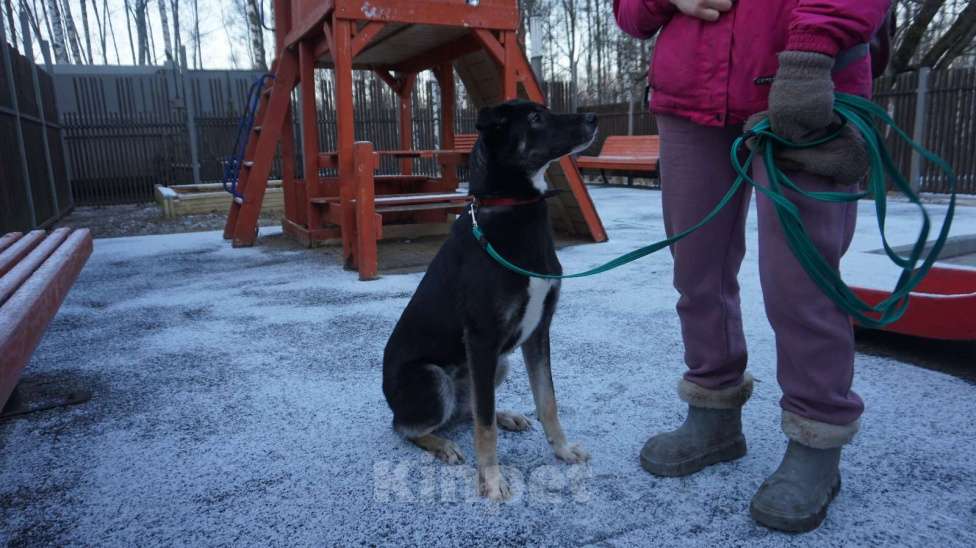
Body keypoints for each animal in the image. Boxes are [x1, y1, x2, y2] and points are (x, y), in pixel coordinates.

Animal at [380, 99, 596, 500]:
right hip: (433, 377)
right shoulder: (482, 339)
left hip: (499, 364)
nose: (593, 117)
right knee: (407, 426)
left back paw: (505, 415)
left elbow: (547, 401)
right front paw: (492, 480)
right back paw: (442, 445)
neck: (514, 207)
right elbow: (485, 428)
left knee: (470, 409)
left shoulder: (538, 332)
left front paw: (561, 450)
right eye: (535, 118)